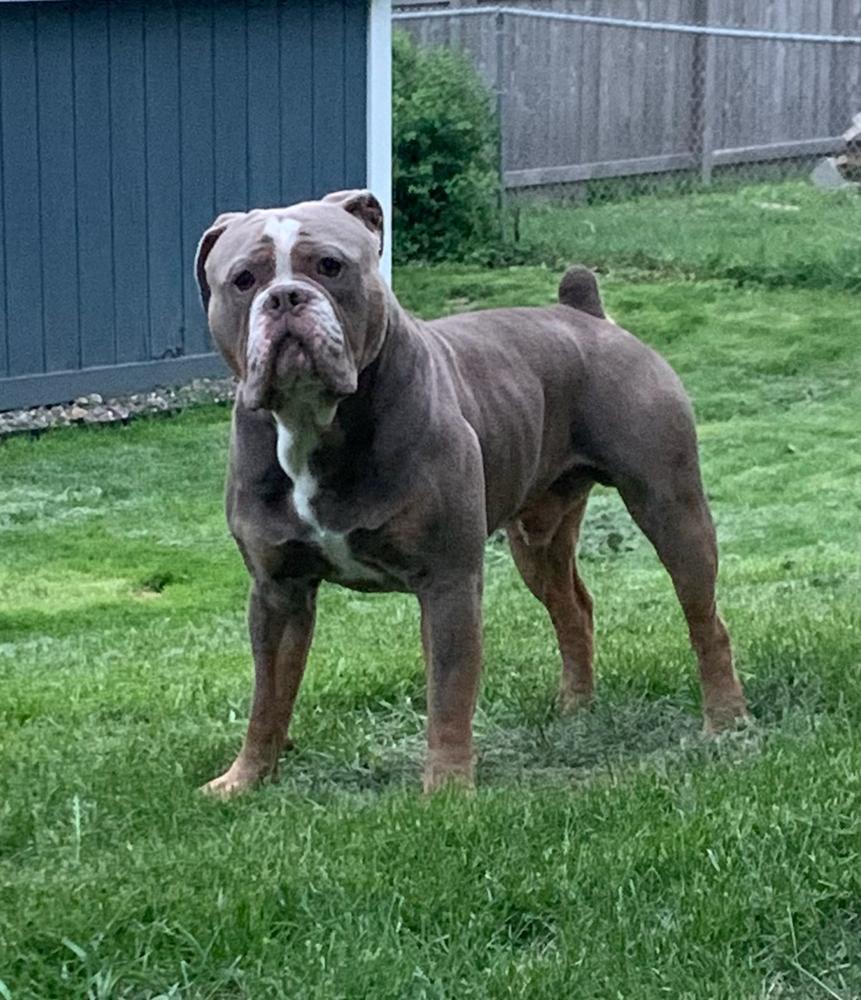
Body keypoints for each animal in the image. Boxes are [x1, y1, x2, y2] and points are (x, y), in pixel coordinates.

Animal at [195, 189, 744, 796]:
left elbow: (449, 693)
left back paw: (725, 720)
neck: (312, 422)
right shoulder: (278, 593)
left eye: (330, 266)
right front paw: (244, 779)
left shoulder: (449, 580)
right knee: (574, 608)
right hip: (538, 540)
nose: (285, 297)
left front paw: (447, 789)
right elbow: (268, 697)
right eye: (243, 279)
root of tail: (586, 314)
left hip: (670, 508)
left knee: (704, 618)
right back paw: (575, 707)